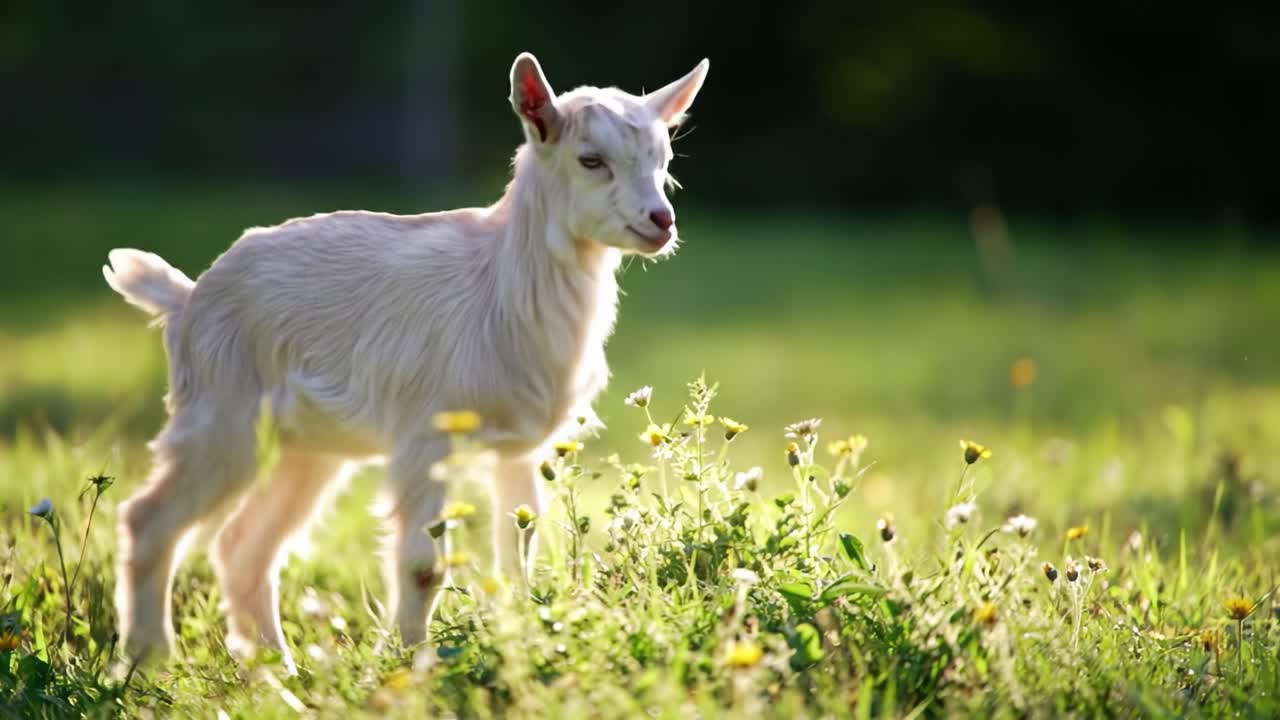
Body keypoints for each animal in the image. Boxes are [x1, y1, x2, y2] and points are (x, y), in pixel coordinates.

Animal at [102, 52, 709, 671]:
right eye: (591, 160)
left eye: (664, 160)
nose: (661, 221)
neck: (499, 286)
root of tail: (186, 298)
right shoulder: (426, 436)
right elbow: (422, 565)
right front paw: (408, 664)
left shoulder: (520, 447)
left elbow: (518, 553)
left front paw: (521, 643)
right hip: (223, 414)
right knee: (148, 520)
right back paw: (148, 663)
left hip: (306, 449)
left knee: (243, 546)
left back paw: (278, 676)